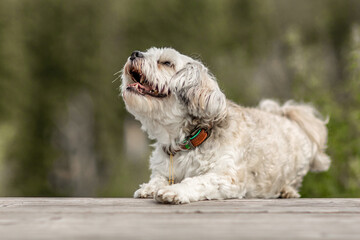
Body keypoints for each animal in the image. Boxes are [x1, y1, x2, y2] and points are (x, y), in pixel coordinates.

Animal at [119, 47, 330, 204]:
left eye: (166, 63)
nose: (134, 54)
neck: (187, 139)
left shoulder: (226, 177)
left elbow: (196, 181)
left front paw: (175, 191)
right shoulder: (163, 169)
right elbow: (157, 179)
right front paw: (148, 188)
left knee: (292, 182)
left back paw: (287, 191)